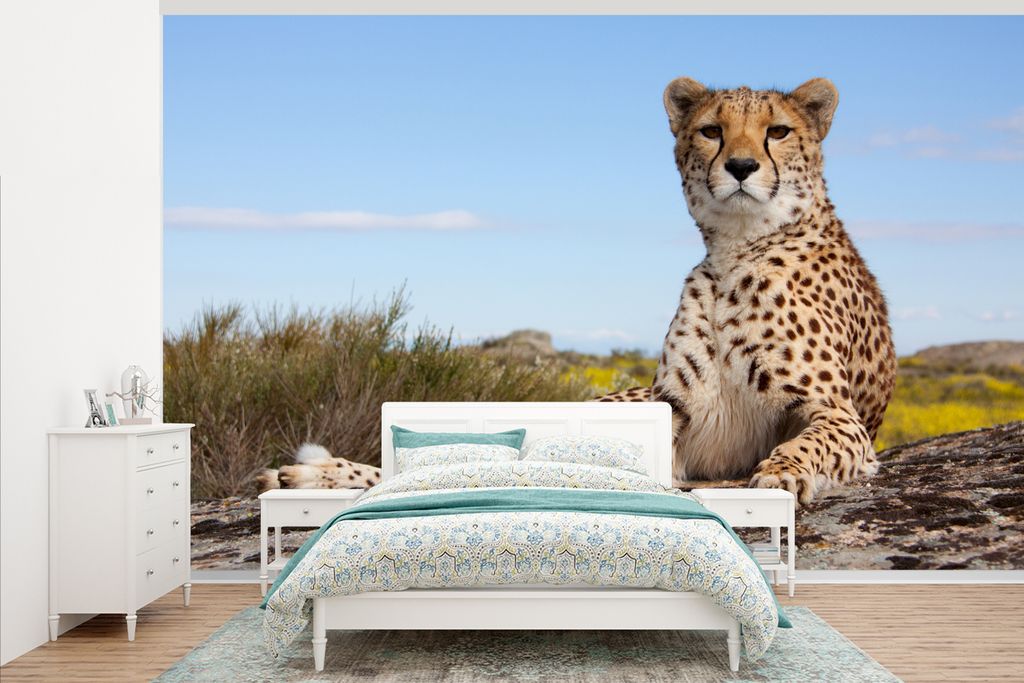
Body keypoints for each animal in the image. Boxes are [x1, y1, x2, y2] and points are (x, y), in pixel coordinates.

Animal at [598, 77, 897, 505]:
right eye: (711, 131)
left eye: (778, 131)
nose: (741, 166)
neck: (735, 251)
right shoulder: (671, 406)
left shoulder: (841, 415)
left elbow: (809, 442)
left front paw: (780, 471)